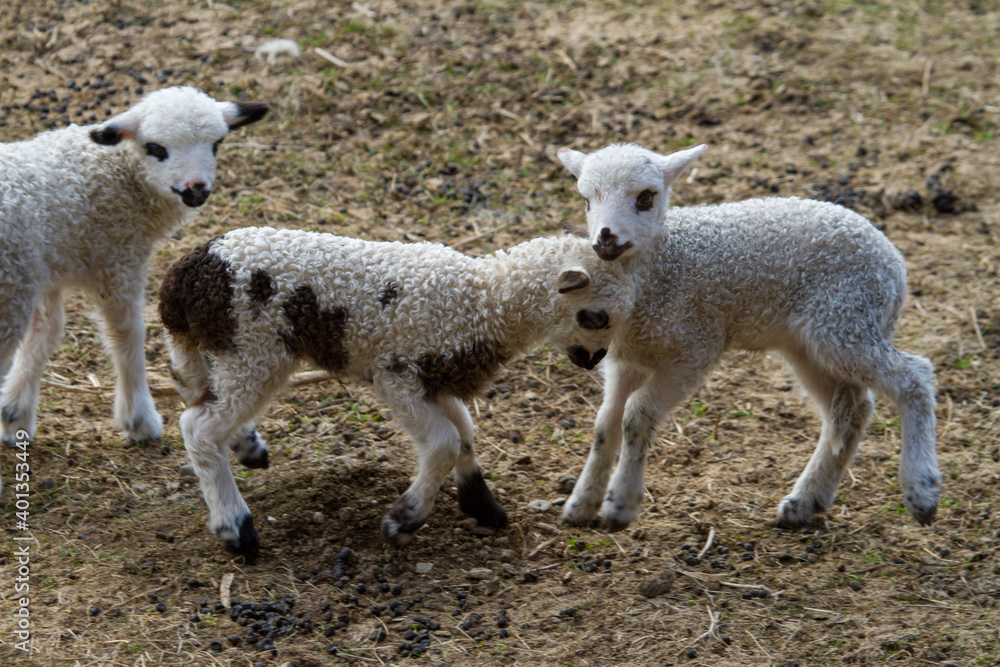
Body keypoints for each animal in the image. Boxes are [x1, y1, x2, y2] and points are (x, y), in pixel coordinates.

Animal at [0, 86, 268, 483]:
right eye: (155, 148)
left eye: (217, 144)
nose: (195, 189)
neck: (114, 173)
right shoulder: (117, 260)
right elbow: (127, 333)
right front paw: (139, 418)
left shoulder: (44, 265)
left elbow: (45, 333)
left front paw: (15, 413)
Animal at [158, 227, 637, 555]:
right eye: (596, 316)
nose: (594, 360)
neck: (484, 301)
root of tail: (184, 276)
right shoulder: (398, 374)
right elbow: (444, 442)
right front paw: (403, 521)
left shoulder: (436, 380)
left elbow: (464, 432)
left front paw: (482, 506)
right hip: (253, 350)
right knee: (199, 427)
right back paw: (236, 528)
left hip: (221, 349)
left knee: (192, 389)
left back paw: (247, 447)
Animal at [556, 142, 939, 531]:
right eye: (586, 199)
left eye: (646, 197)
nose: (605, 238)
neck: (663, 263)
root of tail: (894, 262)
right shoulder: (628, 358)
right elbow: (606, 424)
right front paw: (582, 504)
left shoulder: (695, 350)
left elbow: (635, 416)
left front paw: (620, 505)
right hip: (811, 344)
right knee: (854, 409)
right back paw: (805, 501)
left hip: (846, 319)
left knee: (914, 377)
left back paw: (921, 491)